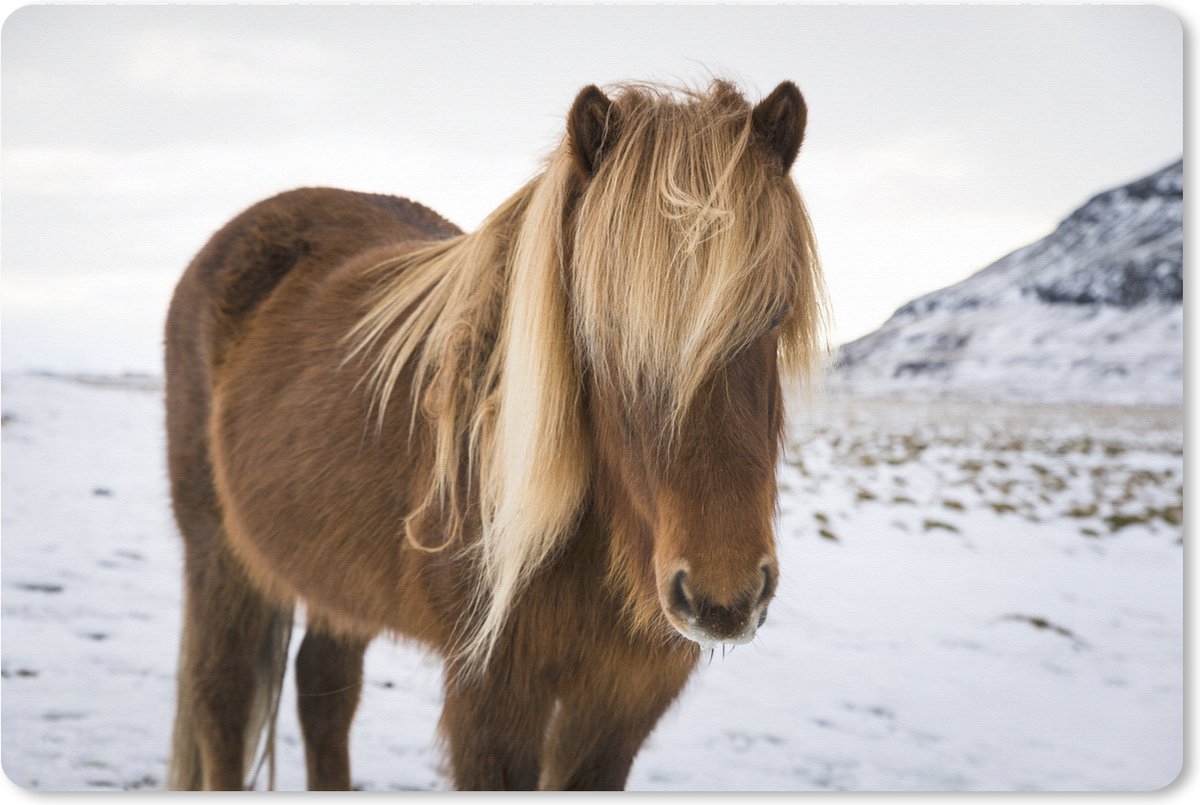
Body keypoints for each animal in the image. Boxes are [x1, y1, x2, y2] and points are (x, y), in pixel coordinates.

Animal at [164, 78, 825, 791]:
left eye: (776, 311)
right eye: (603, 323)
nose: (723, 598)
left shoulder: (624, 703)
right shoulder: (492, 696)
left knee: (324, 689)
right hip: (218, 556)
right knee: (222, 696)